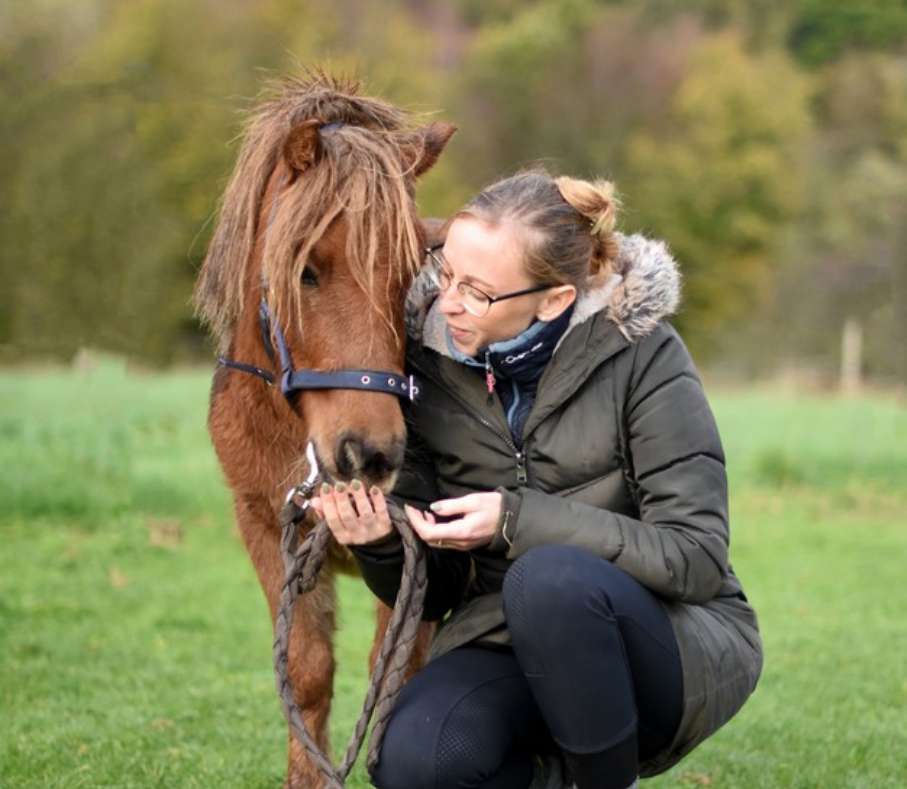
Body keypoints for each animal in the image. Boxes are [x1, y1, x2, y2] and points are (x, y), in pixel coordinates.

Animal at [196, 69, 458, 788]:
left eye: (412, 275)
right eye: (307, 269)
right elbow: (306, 673)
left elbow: (397, 671)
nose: (370, 452)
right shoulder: (265, 527)